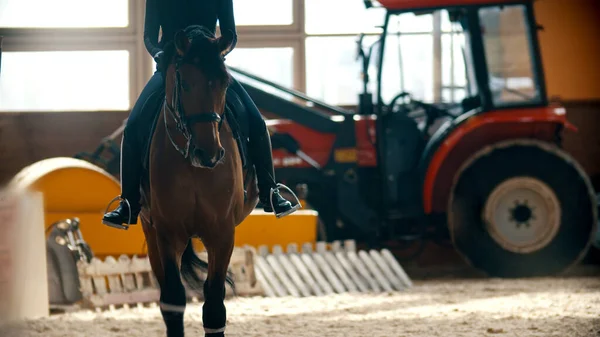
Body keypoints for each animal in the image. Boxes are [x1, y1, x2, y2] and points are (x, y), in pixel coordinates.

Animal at [138, 26, 258, 336]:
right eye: (185, 84)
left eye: (225, 83)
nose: (209, 154)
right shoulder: (167, 233)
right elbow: (173, 300)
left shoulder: (222, 233)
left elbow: (214, 305)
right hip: (150, 231)